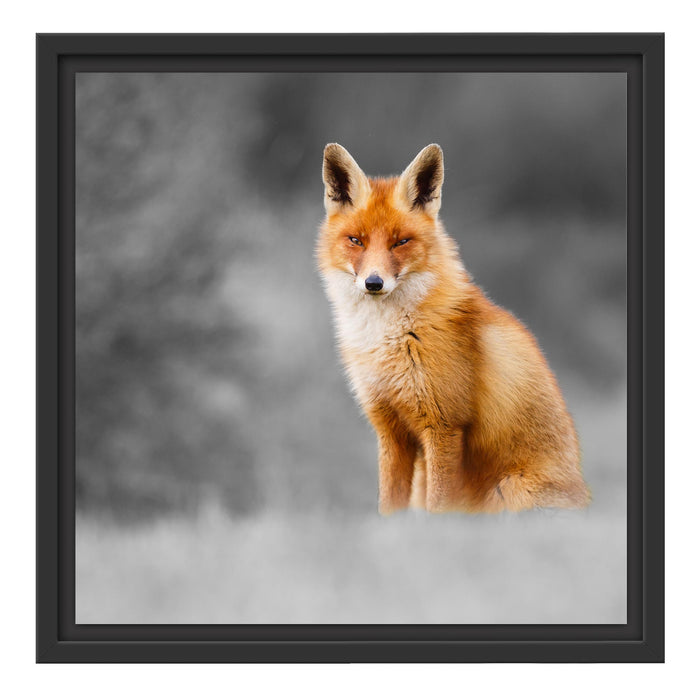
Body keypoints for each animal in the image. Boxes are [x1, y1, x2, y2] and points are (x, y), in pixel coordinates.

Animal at [317, 143, 591, 515]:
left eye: (401, 242)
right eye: (356, 240)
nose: (374, 283)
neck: (389, 338)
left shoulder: (444, 426)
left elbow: (439, 508)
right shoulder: (390, 429)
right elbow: (388, 507)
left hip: (508, 491)